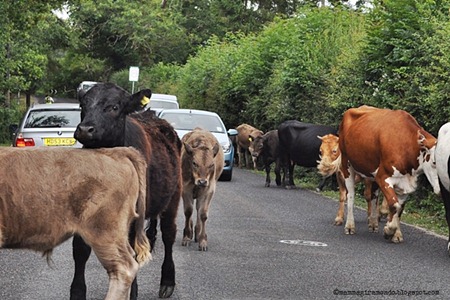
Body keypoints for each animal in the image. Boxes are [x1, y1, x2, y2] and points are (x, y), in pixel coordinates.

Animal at [72, 82, 181, 300]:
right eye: (82, 105)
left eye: (114, 107)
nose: (85, 129)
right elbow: (80, 251)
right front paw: (77, 292)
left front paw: (132, 293)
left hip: (174, 196)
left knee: (169, 234)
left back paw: (167, 281)